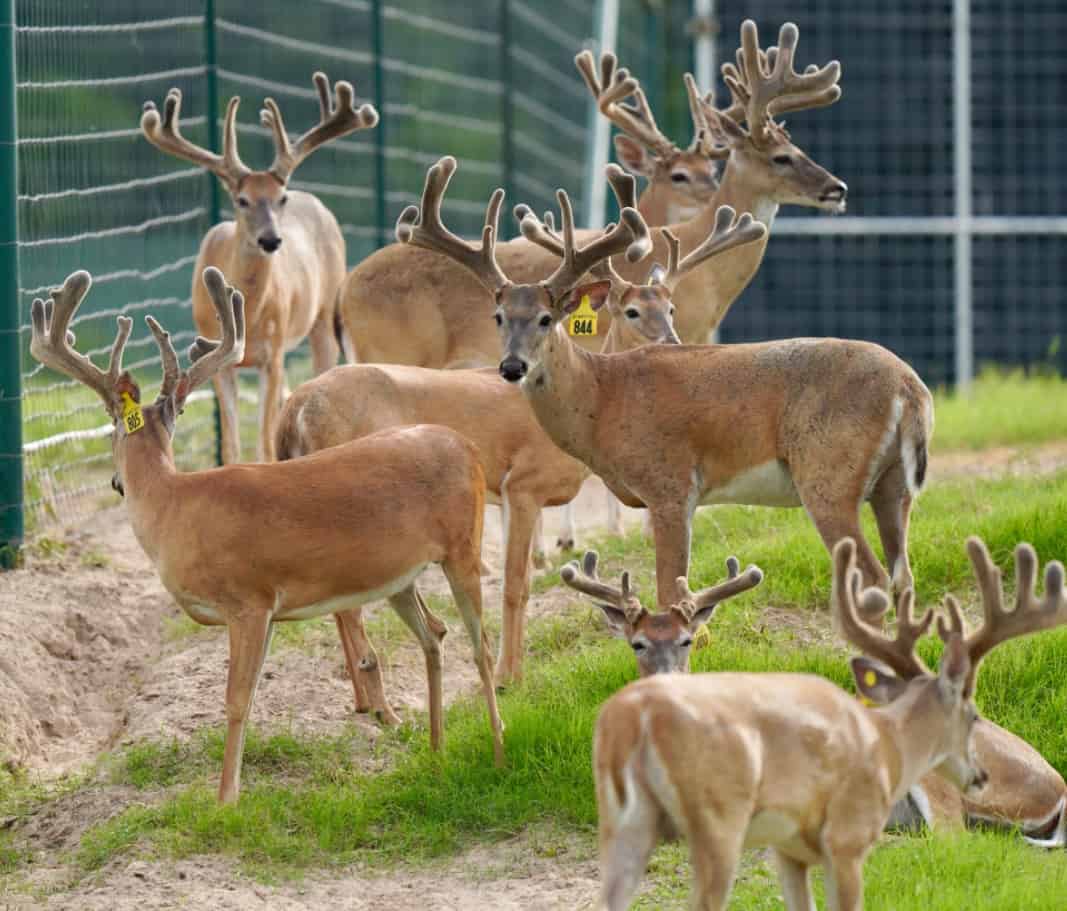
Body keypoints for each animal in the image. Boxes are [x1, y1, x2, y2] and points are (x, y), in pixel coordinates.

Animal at [27, 267, 504, 804]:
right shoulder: (270, 611)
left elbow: (236, 700)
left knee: (481, 645)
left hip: (463, 548)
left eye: (109, 431)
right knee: (435, 633)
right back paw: (437, 751)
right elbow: (252, 694)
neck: (172, 507)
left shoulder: (250, 600)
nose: (114, 482)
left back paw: (498, 752)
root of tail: (467, 447)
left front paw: (225, 800)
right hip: (399, 577)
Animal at [140, 72, 379, 464]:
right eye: (242, 200)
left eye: (281, 198)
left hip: (323, 318)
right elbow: (231, 444)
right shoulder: (217, 356)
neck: (248, 318)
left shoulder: (273, 352)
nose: (271, 240)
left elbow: (265, 443)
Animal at [338, 19, 844, 372]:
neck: (711, 277)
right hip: (395, 350)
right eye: (781, 157)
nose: (836, 189)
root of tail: (344, 292)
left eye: (714, 168)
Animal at [396, 155, 932, 608]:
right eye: (499, 316)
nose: (512, 367)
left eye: (548, 318)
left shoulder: (671, 485)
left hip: (827, 475)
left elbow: (671, 593)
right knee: (903, 576)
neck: (602, 400)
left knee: (876, 577)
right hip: (893, 487)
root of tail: (910, 388)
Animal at [589, 535, 1067, 910]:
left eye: (687, 641)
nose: (666, 678)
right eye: (637, 643)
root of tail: (1058, 789)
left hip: (938, 781)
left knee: (952, 837)